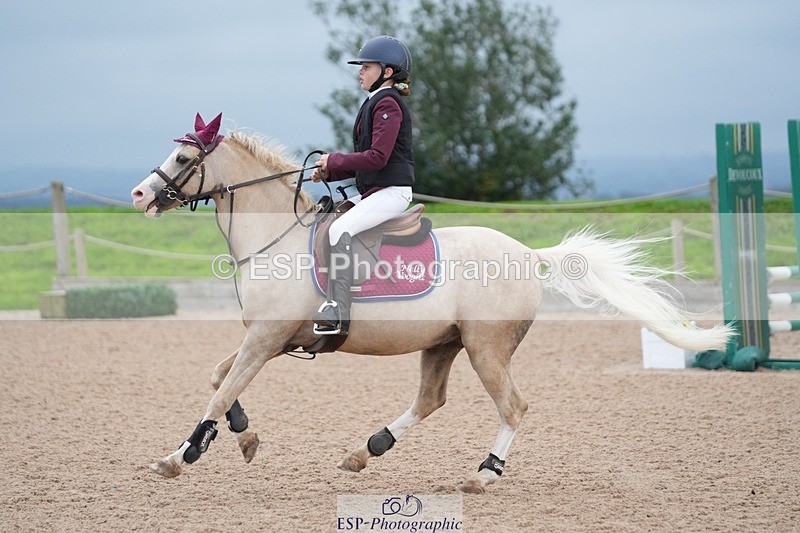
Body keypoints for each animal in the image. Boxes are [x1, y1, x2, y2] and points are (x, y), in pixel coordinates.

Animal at [131, 116, 732, 494]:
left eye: (183, 156)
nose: (140, 195)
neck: (276, 238)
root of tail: (528, 254)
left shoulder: (267, 339)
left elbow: (218, 390)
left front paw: (180, 457)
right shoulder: (270, 339)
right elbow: (219, 380)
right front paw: (245, 436)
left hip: (486, 349)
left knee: (512, 407)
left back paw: (483, 475)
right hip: (443, 344)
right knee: (431, 399)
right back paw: (366, 449)